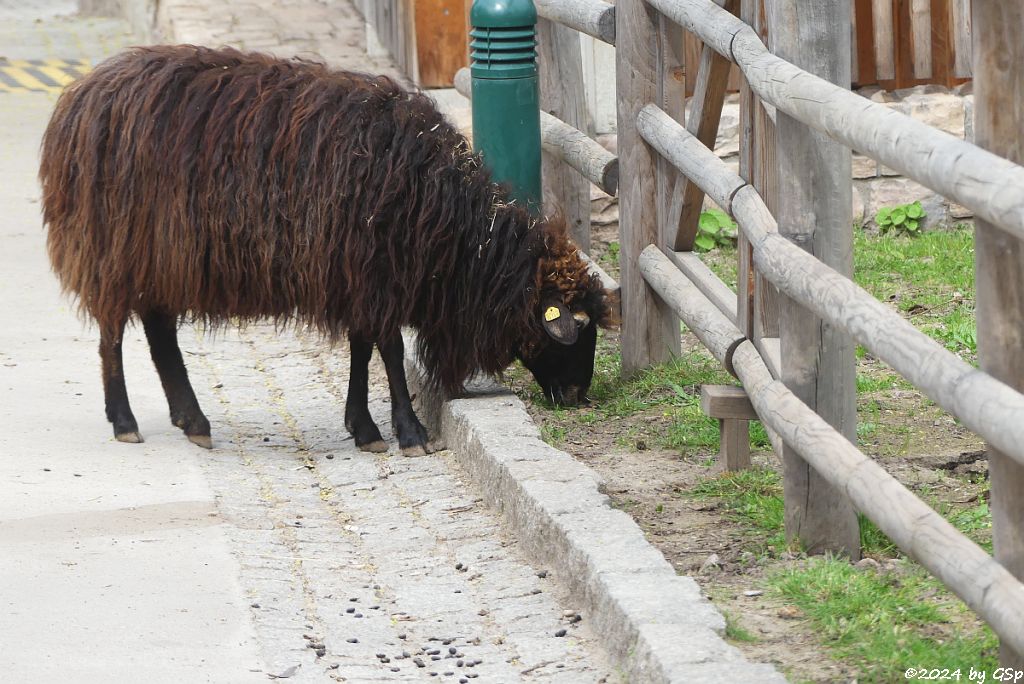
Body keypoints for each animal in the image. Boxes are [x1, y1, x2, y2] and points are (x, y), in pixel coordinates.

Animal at [39, 45, 614, 454]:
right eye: (575, 324)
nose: (578, 397)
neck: (458, 236)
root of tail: (82, 95)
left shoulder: (358, 278)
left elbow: (362, 348)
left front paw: (365, 429)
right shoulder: (374, 271)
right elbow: (390, 349)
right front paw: (409, 432)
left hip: (160, 257)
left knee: (159, 332)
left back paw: (193, 421)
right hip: (113, 247)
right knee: (113, 334)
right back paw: (125, 421)